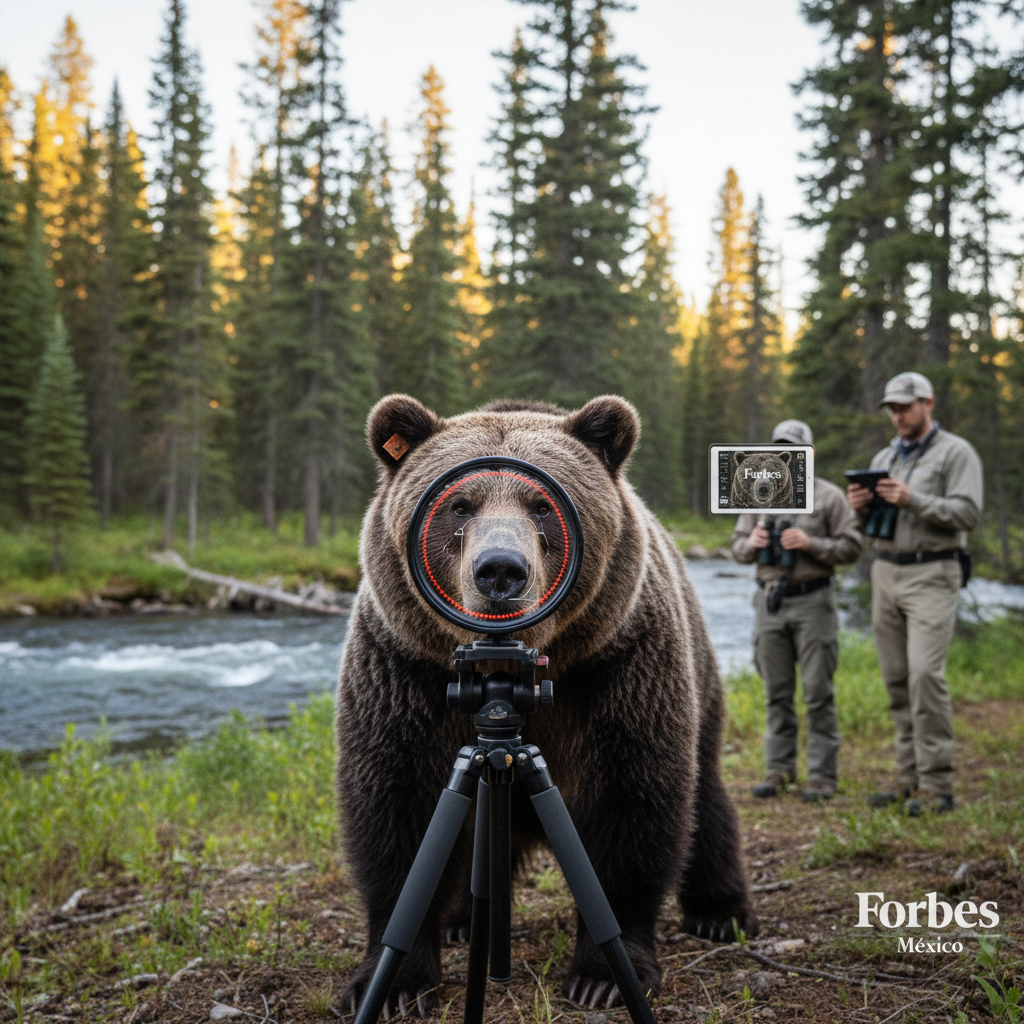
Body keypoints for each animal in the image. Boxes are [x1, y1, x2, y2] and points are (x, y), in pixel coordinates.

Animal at [336, 394, 758, 1016]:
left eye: (542, 506)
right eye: (458, 506)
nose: (501, 570)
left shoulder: (615, 672)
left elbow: (629, 803)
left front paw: (604, 976)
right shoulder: (405, 676)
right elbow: (398, 811)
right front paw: (392, 986)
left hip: (695, 675)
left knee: (705, 800)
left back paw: (721, 913)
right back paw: (463, 920)